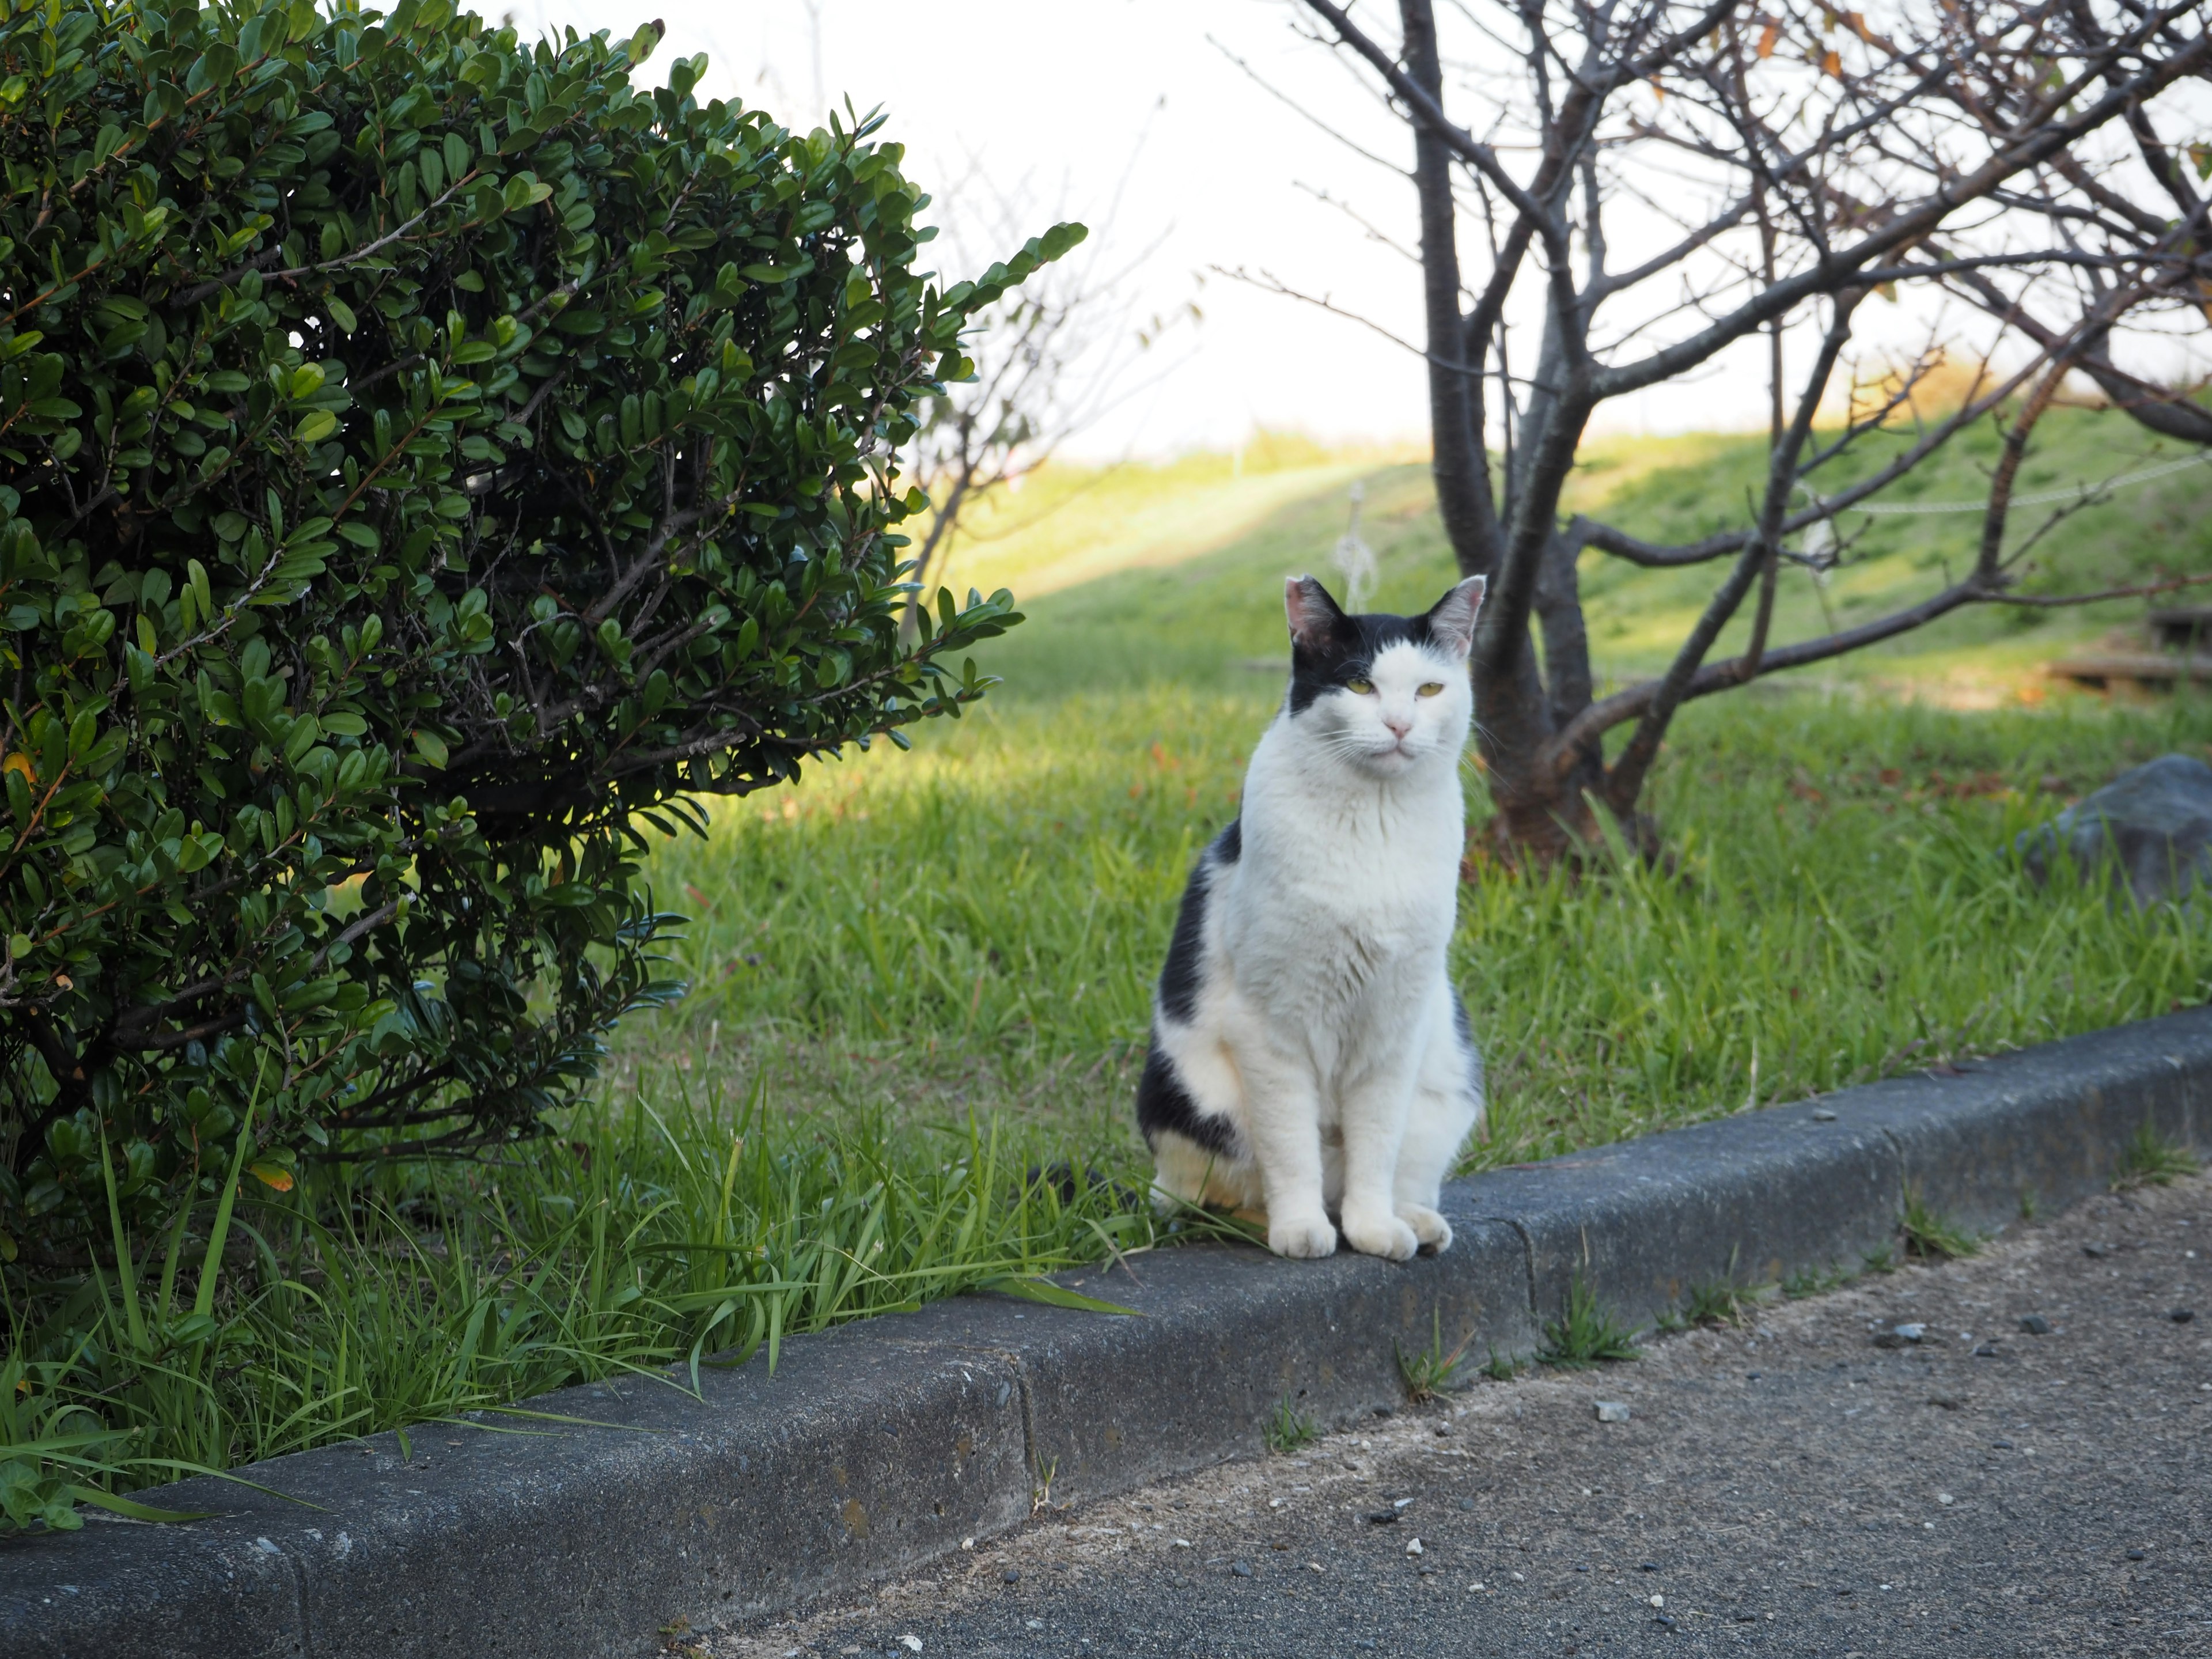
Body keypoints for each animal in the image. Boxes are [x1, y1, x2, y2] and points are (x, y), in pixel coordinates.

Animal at [1141, 570, 1486, 1256]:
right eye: (1360, 685)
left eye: (1430, 689)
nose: (1400, 725)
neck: (1374, 825)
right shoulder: (1269, 1026)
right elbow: (1290, 1146)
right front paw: (1300, 1230)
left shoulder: (1396, 1023)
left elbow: (1376, 1146)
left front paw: (1374, 1229)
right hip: (1187, 1099)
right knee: (1199, 1199)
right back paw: (1261, 1222)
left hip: (1444, 1083)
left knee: (1395, 1169)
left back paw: (1414, 1220)